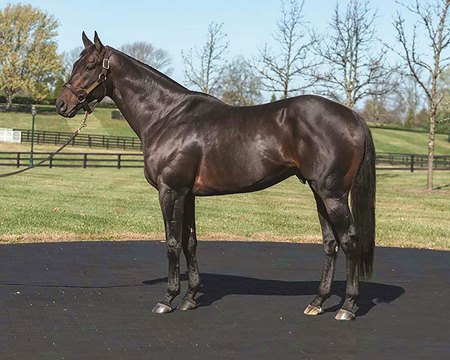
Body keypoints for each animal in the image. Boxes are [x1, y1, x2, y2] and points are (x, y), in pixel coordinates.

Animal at [57, 33, 376, 320]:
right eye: (75, 63)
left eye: (90, 65)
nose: (62, 104)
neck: (167, 116)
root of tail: (354, 117)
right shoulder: (187, 194)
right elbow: (190, 243)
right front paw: (189, 298)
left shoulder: (170, 191)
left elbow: (172, 243)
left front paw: (167, 299)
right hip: (319, 192)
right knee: (330, 243)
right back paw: (318, 302)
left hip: (332, 194)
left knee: (349, 240)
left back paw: (347, 307)